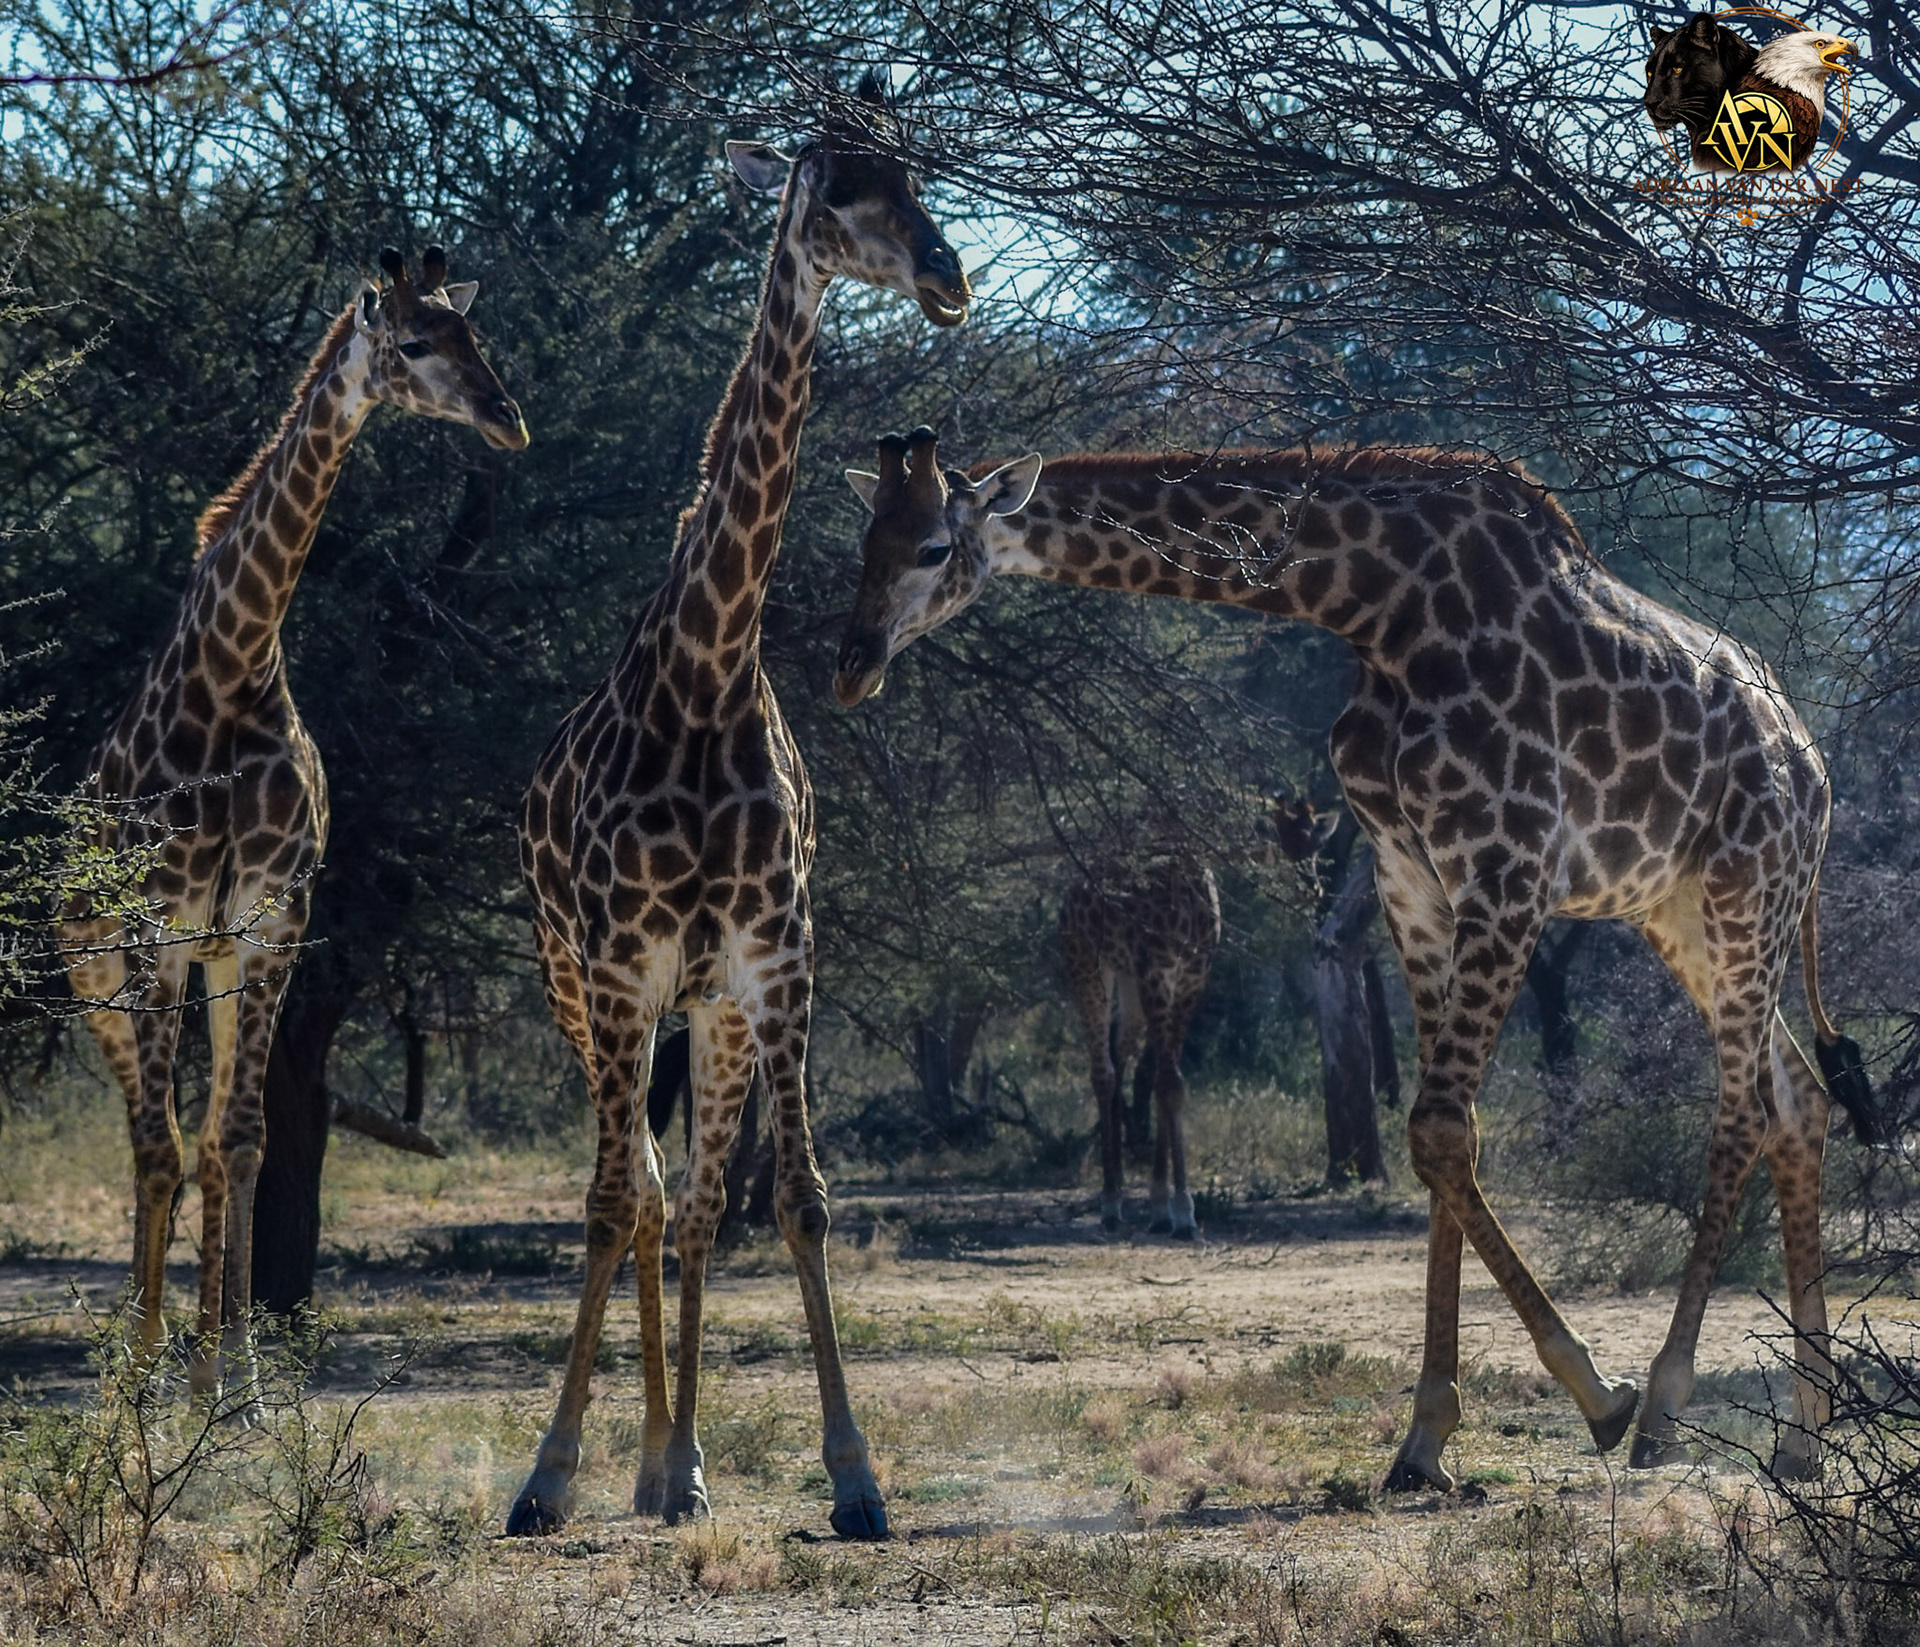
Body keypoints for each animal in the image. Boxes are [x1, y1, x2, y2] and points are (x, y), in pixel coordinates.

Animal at [61, 249, 527, 1393]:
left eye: (478, 336)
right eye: (416, 342)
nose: (508, 421)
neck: (231, 668)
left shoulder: (269, 920)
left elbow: (239, 1139)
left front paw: (232, 1381)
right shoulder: (161, 923)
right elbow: (161, 1145)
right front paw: (148, 1379)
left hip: (217, 962)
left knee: (206, 1136)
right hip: (98, 975)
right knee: (144, 1134)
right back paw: (132, 1355)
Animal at [506, 84, 970, 1539]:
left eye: (917, 171)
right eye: (835, 189)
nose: (949, 274)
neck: (706, 668)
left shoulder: (775, 956)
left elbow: (799, 1200)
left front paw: (856, 1474)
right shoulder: (618, 963)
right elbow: (609, 1202)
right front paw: (548, 1473)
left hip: (699, 1010)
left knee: (698, 1199)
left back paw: (678, 1464)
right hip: (581, 991)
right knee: (646, 1194)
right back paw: (630, 1461)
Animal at [1060, 850, 1221, 1237]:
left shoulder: (1192, 975)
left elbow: (1167, 1084)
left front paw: (1163, 1207)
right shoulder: (1157, 972)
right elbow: (1167, 1083)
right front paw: (1183, 1211)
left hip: (1129, 979)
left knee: (1120, 1058)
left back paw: (1121, 1191)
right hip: (1086, 965)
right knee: (1102, 1072)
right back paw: (1109, 1202)